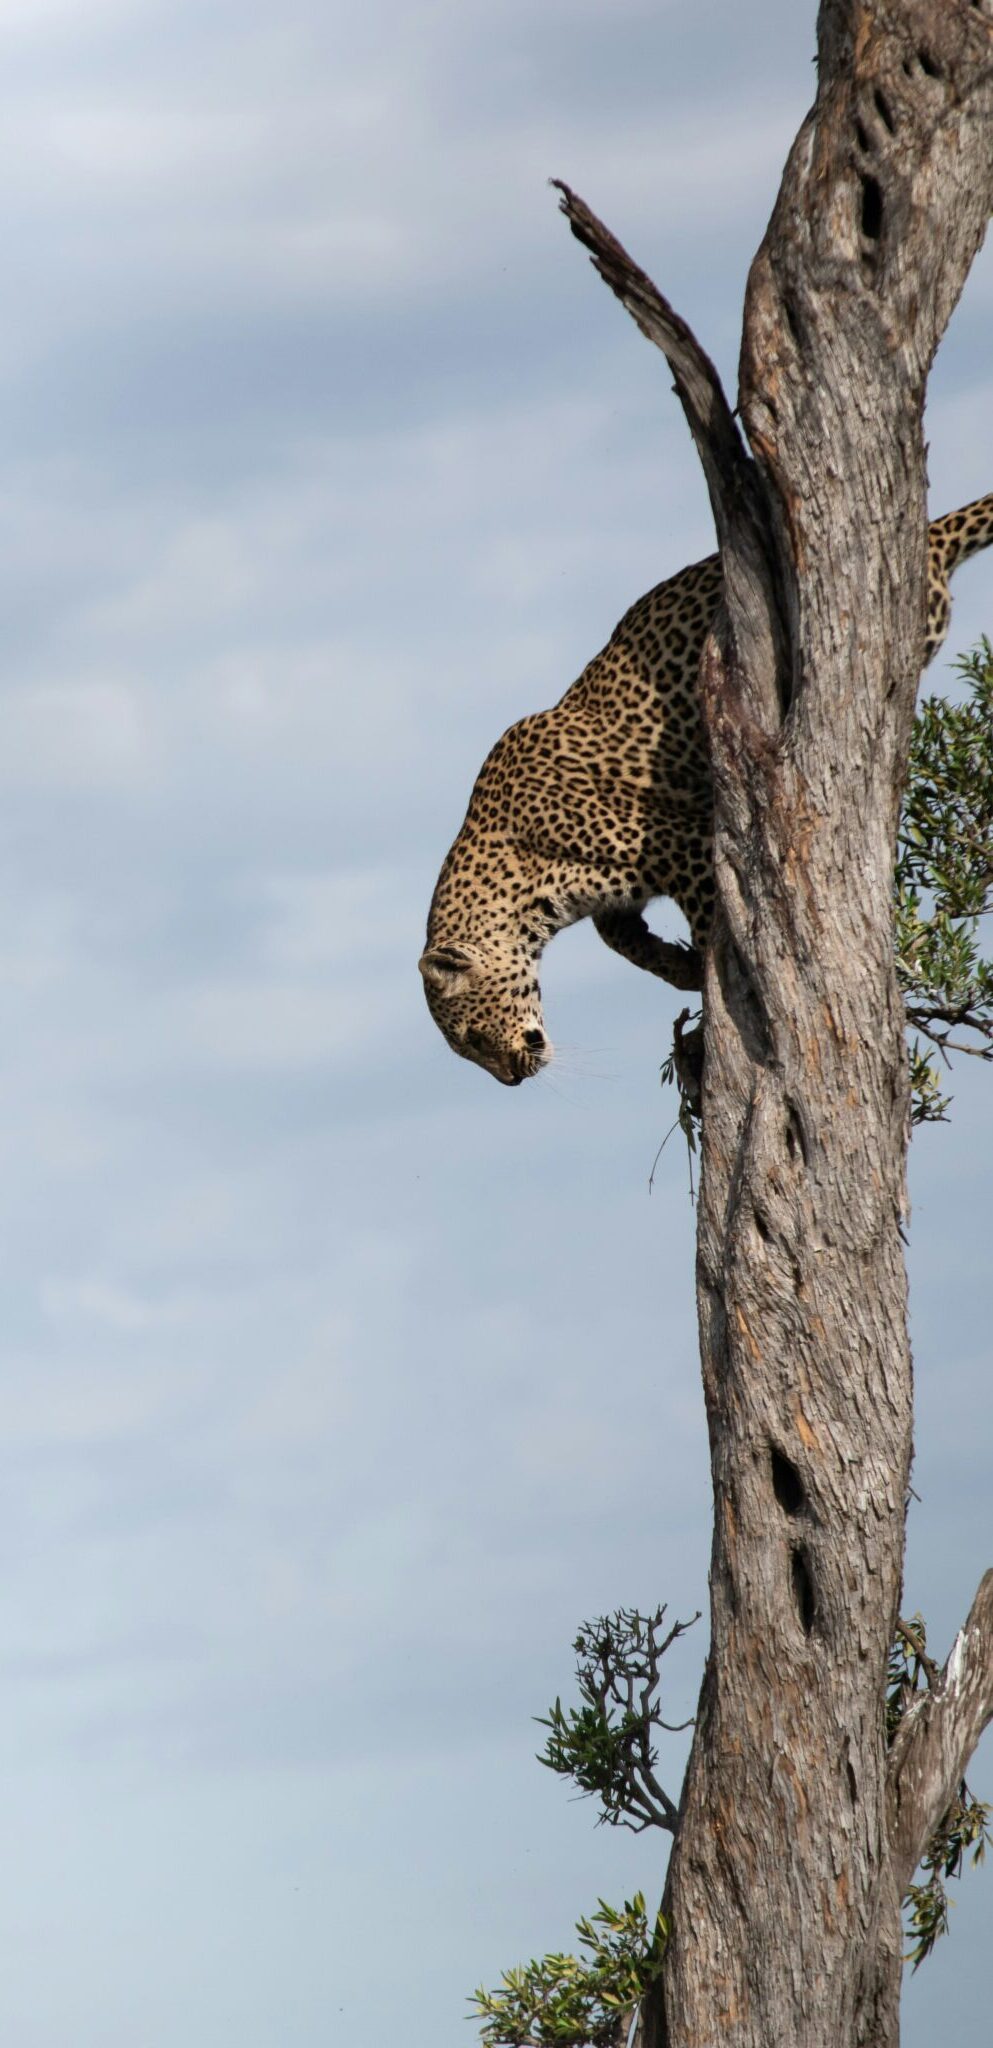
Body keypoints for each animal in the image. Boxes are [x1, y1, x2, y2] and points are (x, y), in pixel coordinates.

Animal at [417, 495, 990, 1089]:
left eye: (472, 1037)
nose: (512, 1078)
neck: (518, 876)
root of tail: (931, 535)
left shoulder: (686, 842)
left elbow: (707, 915)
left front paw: (714, 986)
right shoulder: (617, 891)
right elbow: (618, 935)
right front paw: (679, 967)